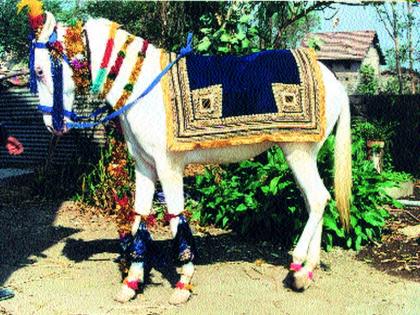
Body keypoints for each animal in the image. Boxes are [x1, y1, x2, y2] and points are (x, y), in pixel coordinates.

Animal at [31, 12, 352, 306]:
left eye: (40, 71)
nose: (51, 125)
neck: (142, 86)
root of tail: (335, 82)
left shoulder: (169, 168)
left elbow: (176, 219)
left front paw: (183, 283)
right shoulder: (144, 167)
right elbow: (140, 218)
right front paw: (131, 282)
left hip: (298, 153)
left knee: (318, 199)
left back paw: (298, 265)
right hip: (304, 156)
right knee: (315, 201)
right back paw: (306, 273)